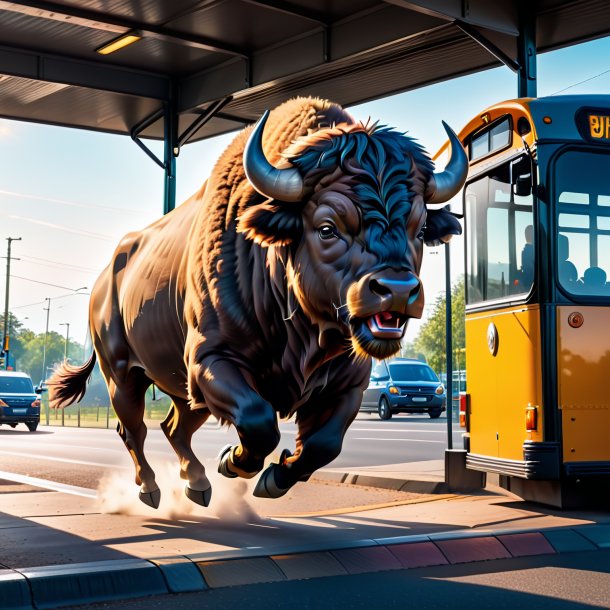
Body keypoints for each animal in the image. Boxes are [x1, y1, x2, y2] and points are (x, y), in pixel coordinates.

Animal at [48, 97, 466, 506]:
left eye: (419, 230)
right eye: (327, 227)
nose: (397, 288)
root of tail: (105, 279)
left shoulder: (349, 384)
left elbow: (324, 444)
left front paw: (273, 479)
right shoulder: (210, 361)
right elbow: (258, 420)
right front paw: (233, 462)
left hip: (181, 389)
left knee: (173, 426)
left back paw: (197, 484)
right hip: (121, 374)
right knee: (132, 428)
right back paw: (150, 490)